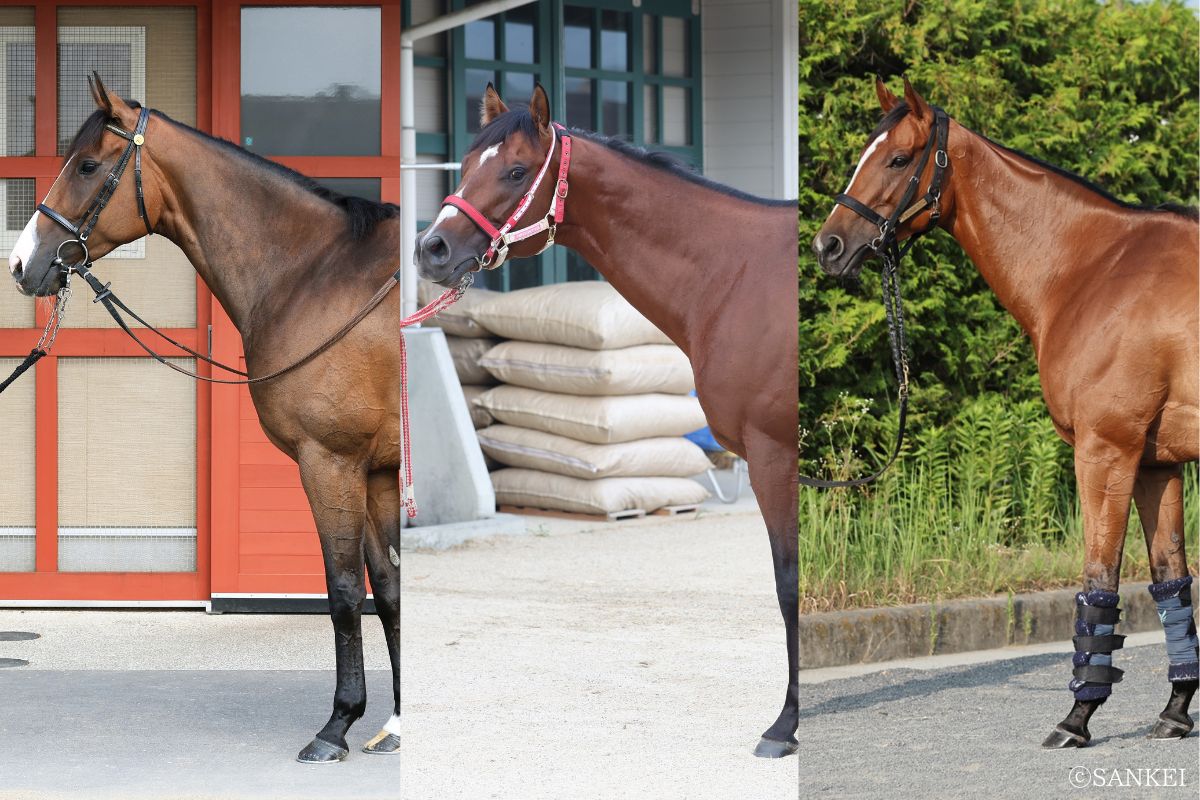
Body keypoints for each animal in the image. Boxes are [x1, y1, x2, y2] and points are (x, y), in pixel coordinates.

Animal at [414, 85, 800, 757]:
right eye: (463, 166)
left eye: (516, 171)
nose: (430, 249)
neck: (738, 275)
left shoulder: (774, 454)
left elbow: (788, 582)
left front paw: (784, 727)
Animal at [813, 77, 1199, 747]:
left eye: (897, 159)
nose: (827, 246)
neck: (1094, 268)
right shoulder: (1157, 462)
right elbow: (1170, 577)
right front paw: (1176, 712)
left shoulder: (1106, 451)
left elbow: (1099, 579)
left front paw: (1077, 718)